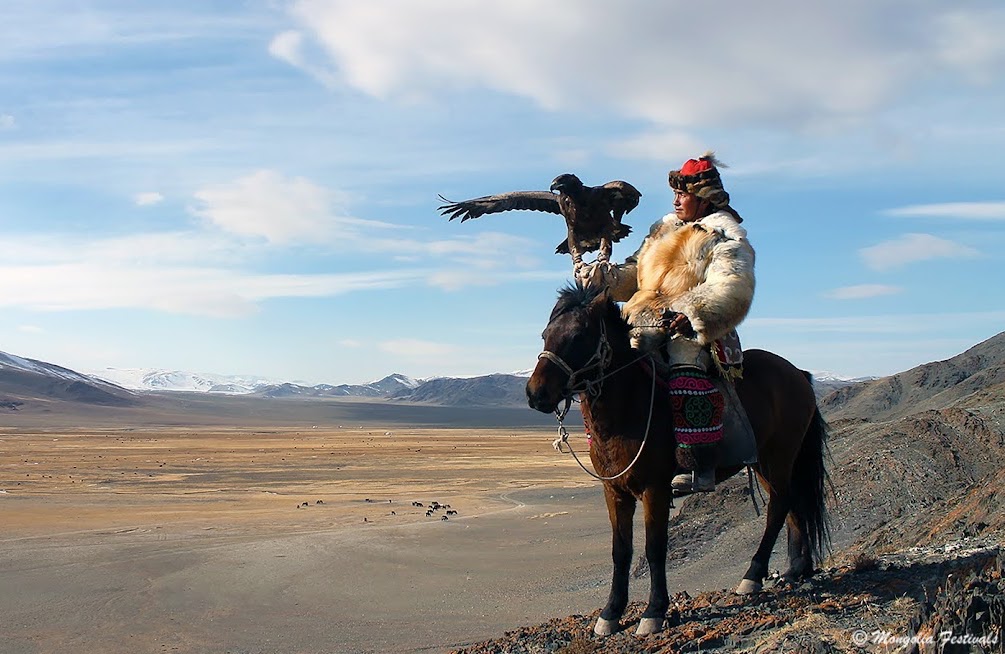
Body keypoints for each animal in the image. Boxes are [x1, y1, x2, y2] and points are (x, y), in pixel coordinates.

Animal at [526, 285, 832, 634]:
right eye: (546, 335)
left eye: (578, 335)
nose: (535, 394)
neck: (628, 406)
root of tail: (798, 374)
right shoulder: (615, 491)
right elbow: (621, 551)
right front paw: (611, 613)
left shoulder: (655, 489)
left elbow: (655, 548)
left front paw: (653, 612)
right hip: (770, 463)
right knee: (793, 505)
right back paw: (796, 569)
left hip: (776, 457)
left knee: (779, 507)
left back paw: (753, 576)